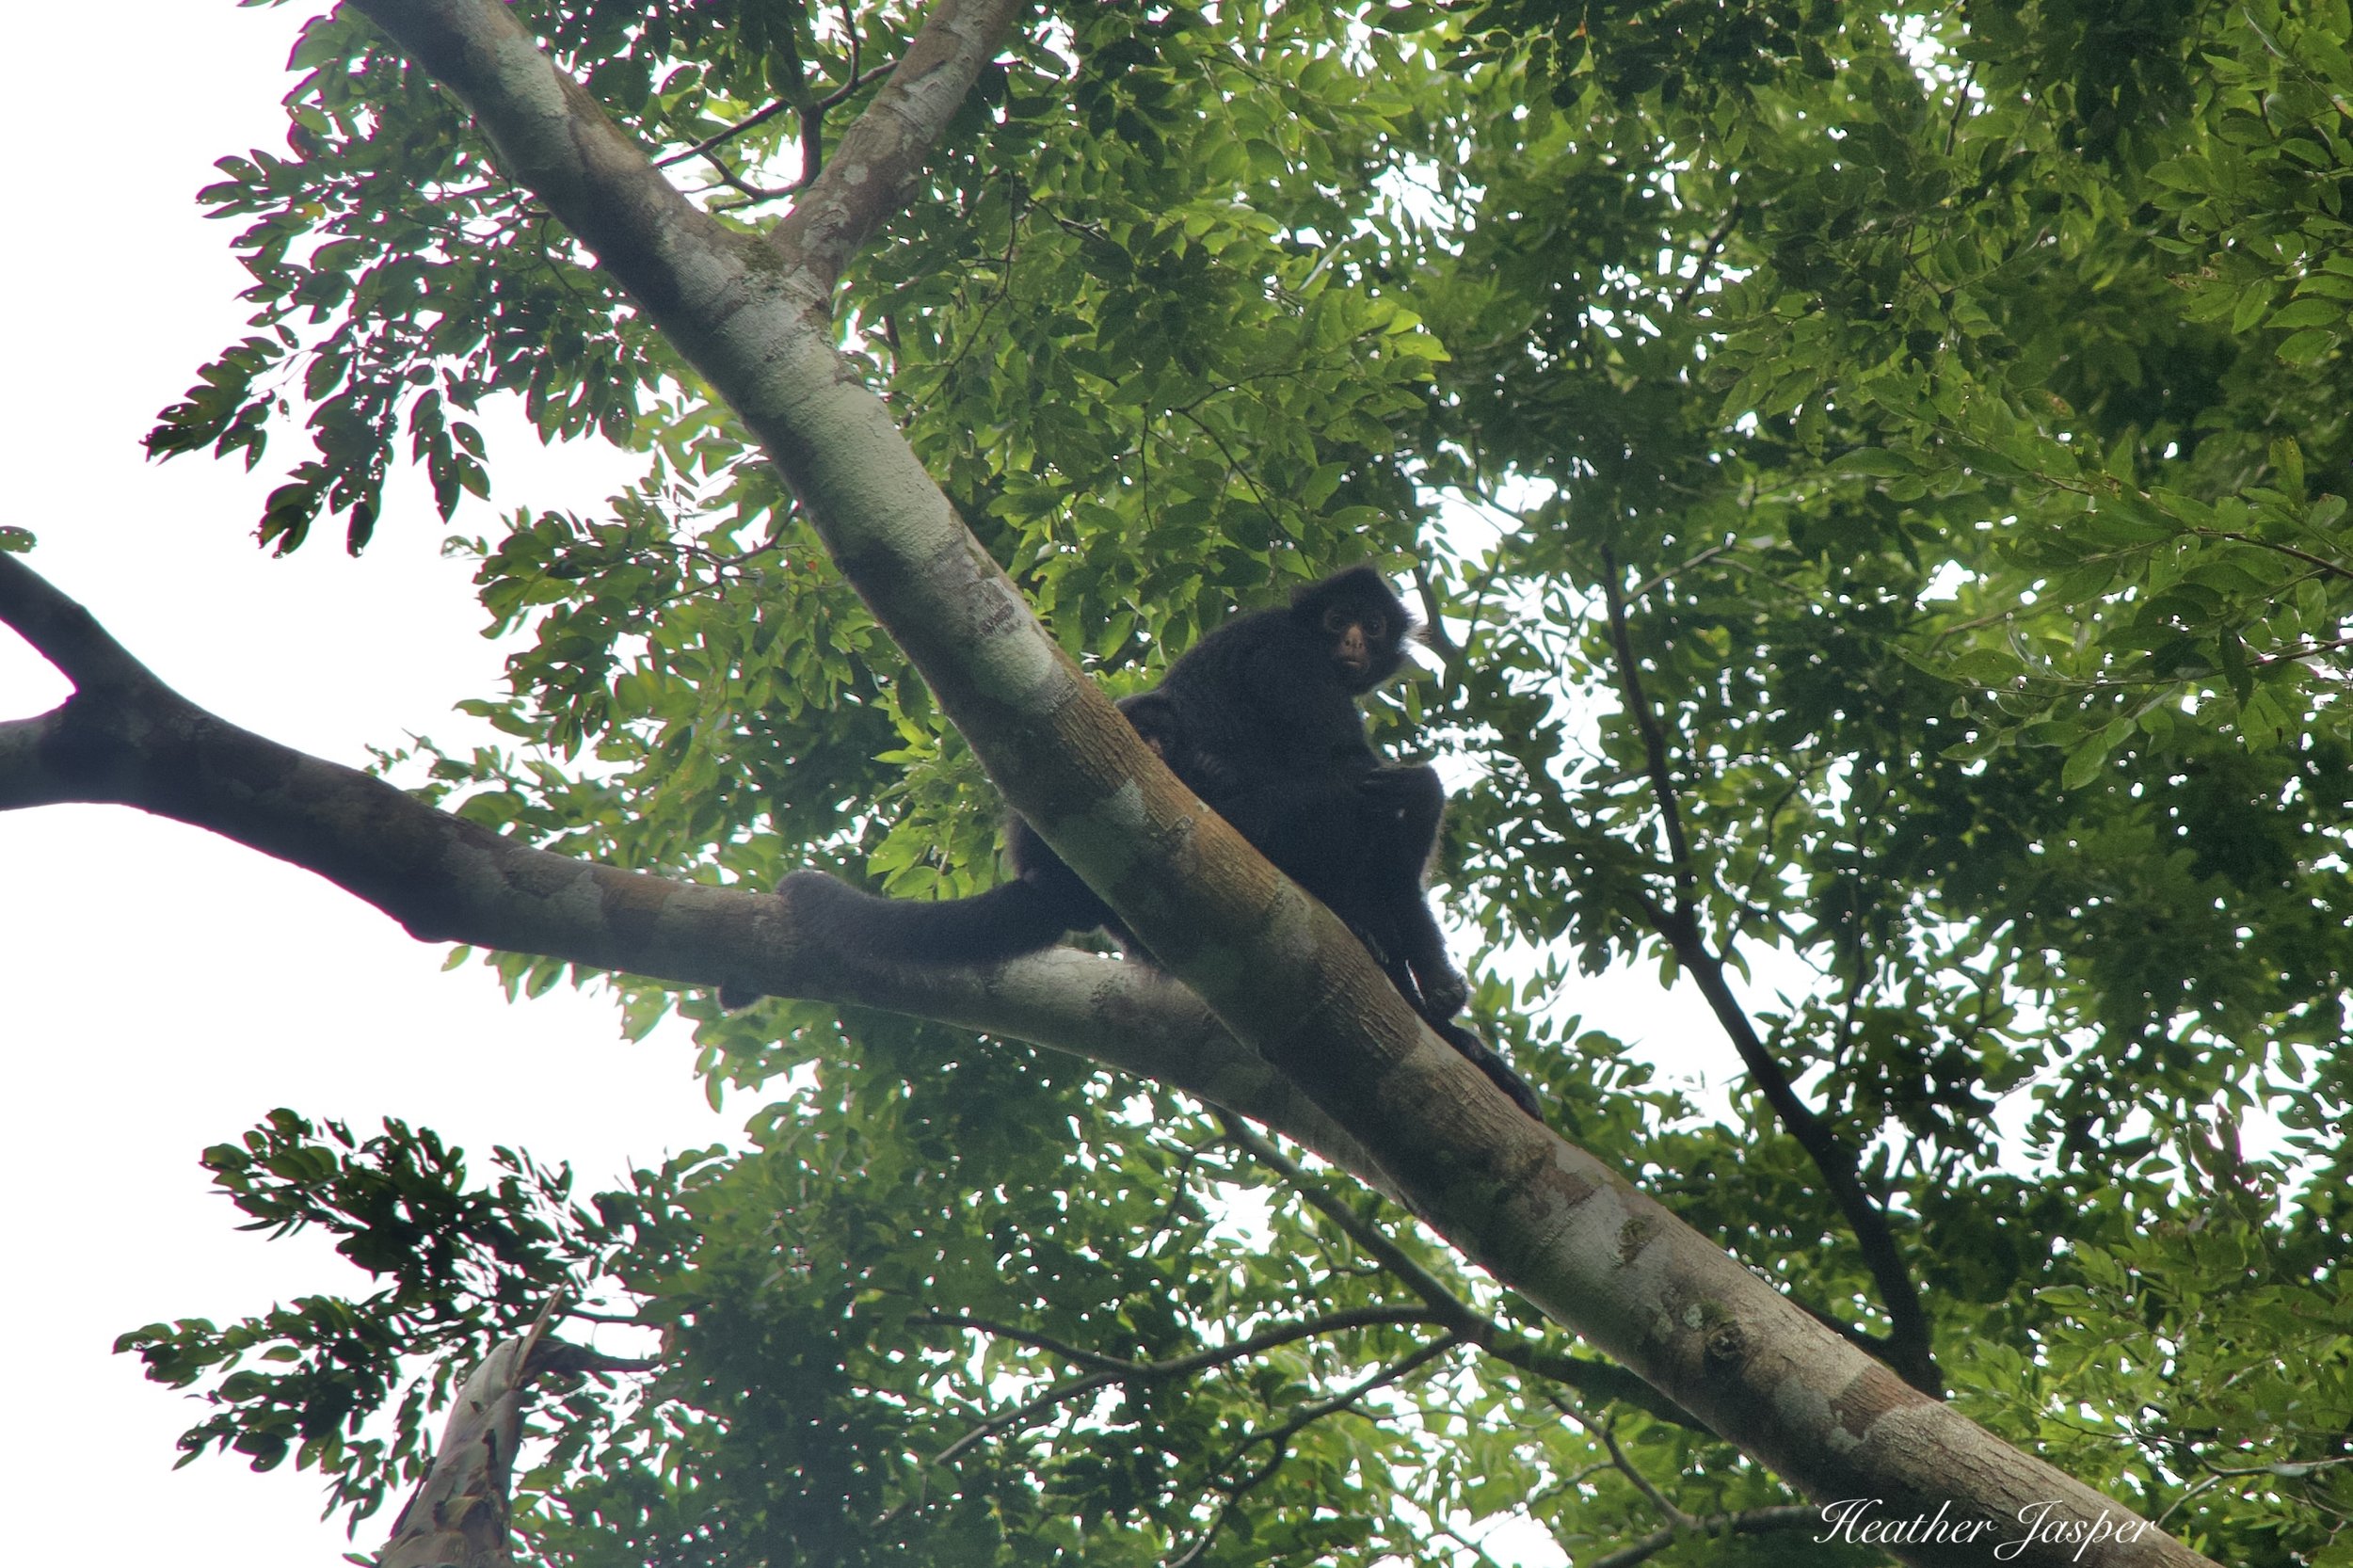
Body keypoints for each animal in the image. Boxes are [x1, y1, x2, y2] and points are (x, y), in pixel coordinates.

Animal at [762, 567, 1544, 1115]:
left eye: (1373, 625)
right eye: (1336, 620)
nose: (1353, 641)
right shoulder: (1289, 658)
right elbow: (1357, 773)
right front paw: (1436, 975)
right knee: (1380, 807)